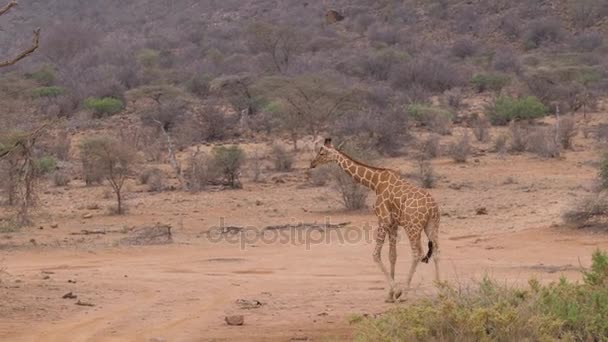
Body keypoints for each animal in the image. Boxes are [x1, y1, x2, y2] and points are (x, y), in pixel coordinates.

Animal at [312, 138, 440, 300]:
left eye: (321, 153)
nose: (312, 163)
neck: (374, 182)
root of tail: (432, 208)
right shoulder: (393, 224)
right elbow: (392, 255)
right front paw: (390, 295)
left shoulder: (383, 219)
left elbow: (376, 255)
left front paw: (396, 291)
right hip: (432, 225)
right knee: (436, 252)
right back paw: (441, 289)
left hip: (413, 227)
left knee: (417, 254)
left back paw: (405, 293)